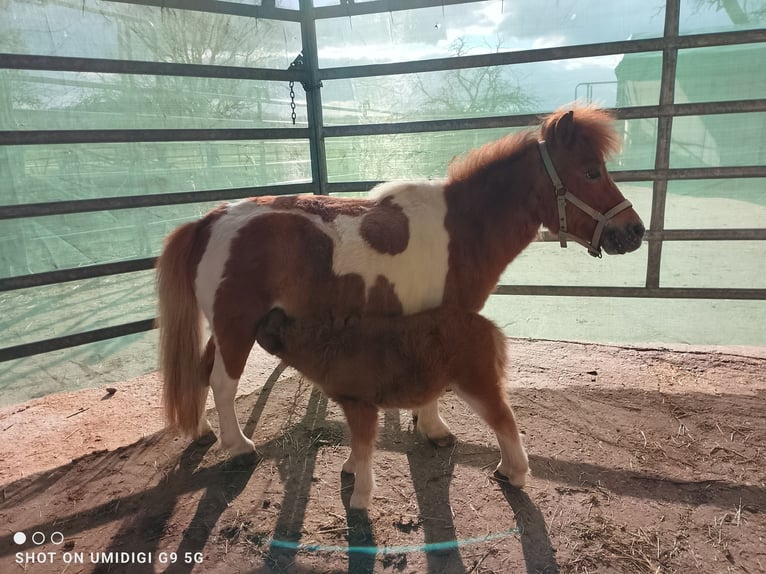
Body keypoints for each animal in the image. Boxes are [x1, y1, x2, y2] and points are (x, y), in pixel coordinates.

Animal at [156, 104, 645, 459]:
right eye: (591, 171)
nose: (635, 232)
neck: (464, 225)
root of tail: (211, 220)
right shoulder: (446, 321)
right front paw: (434, 430)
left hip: (224, 328)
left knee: (201, 372)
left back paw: (202, 431)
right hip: (237, 327)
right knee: (223, 382)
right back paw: (239, 447)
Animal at [255, 306, 527, 509]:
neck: (328, 345)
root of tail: (489, 327)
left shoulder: (361, 405)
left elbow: (364, 446)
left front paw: (360, 497)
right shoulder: (353, 406)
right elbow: (356, 442)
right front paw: (350, 467)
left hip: (475, 383)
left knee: (504, 420)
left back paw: (517, 474)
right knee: (500, 422)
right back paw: (504, 470)